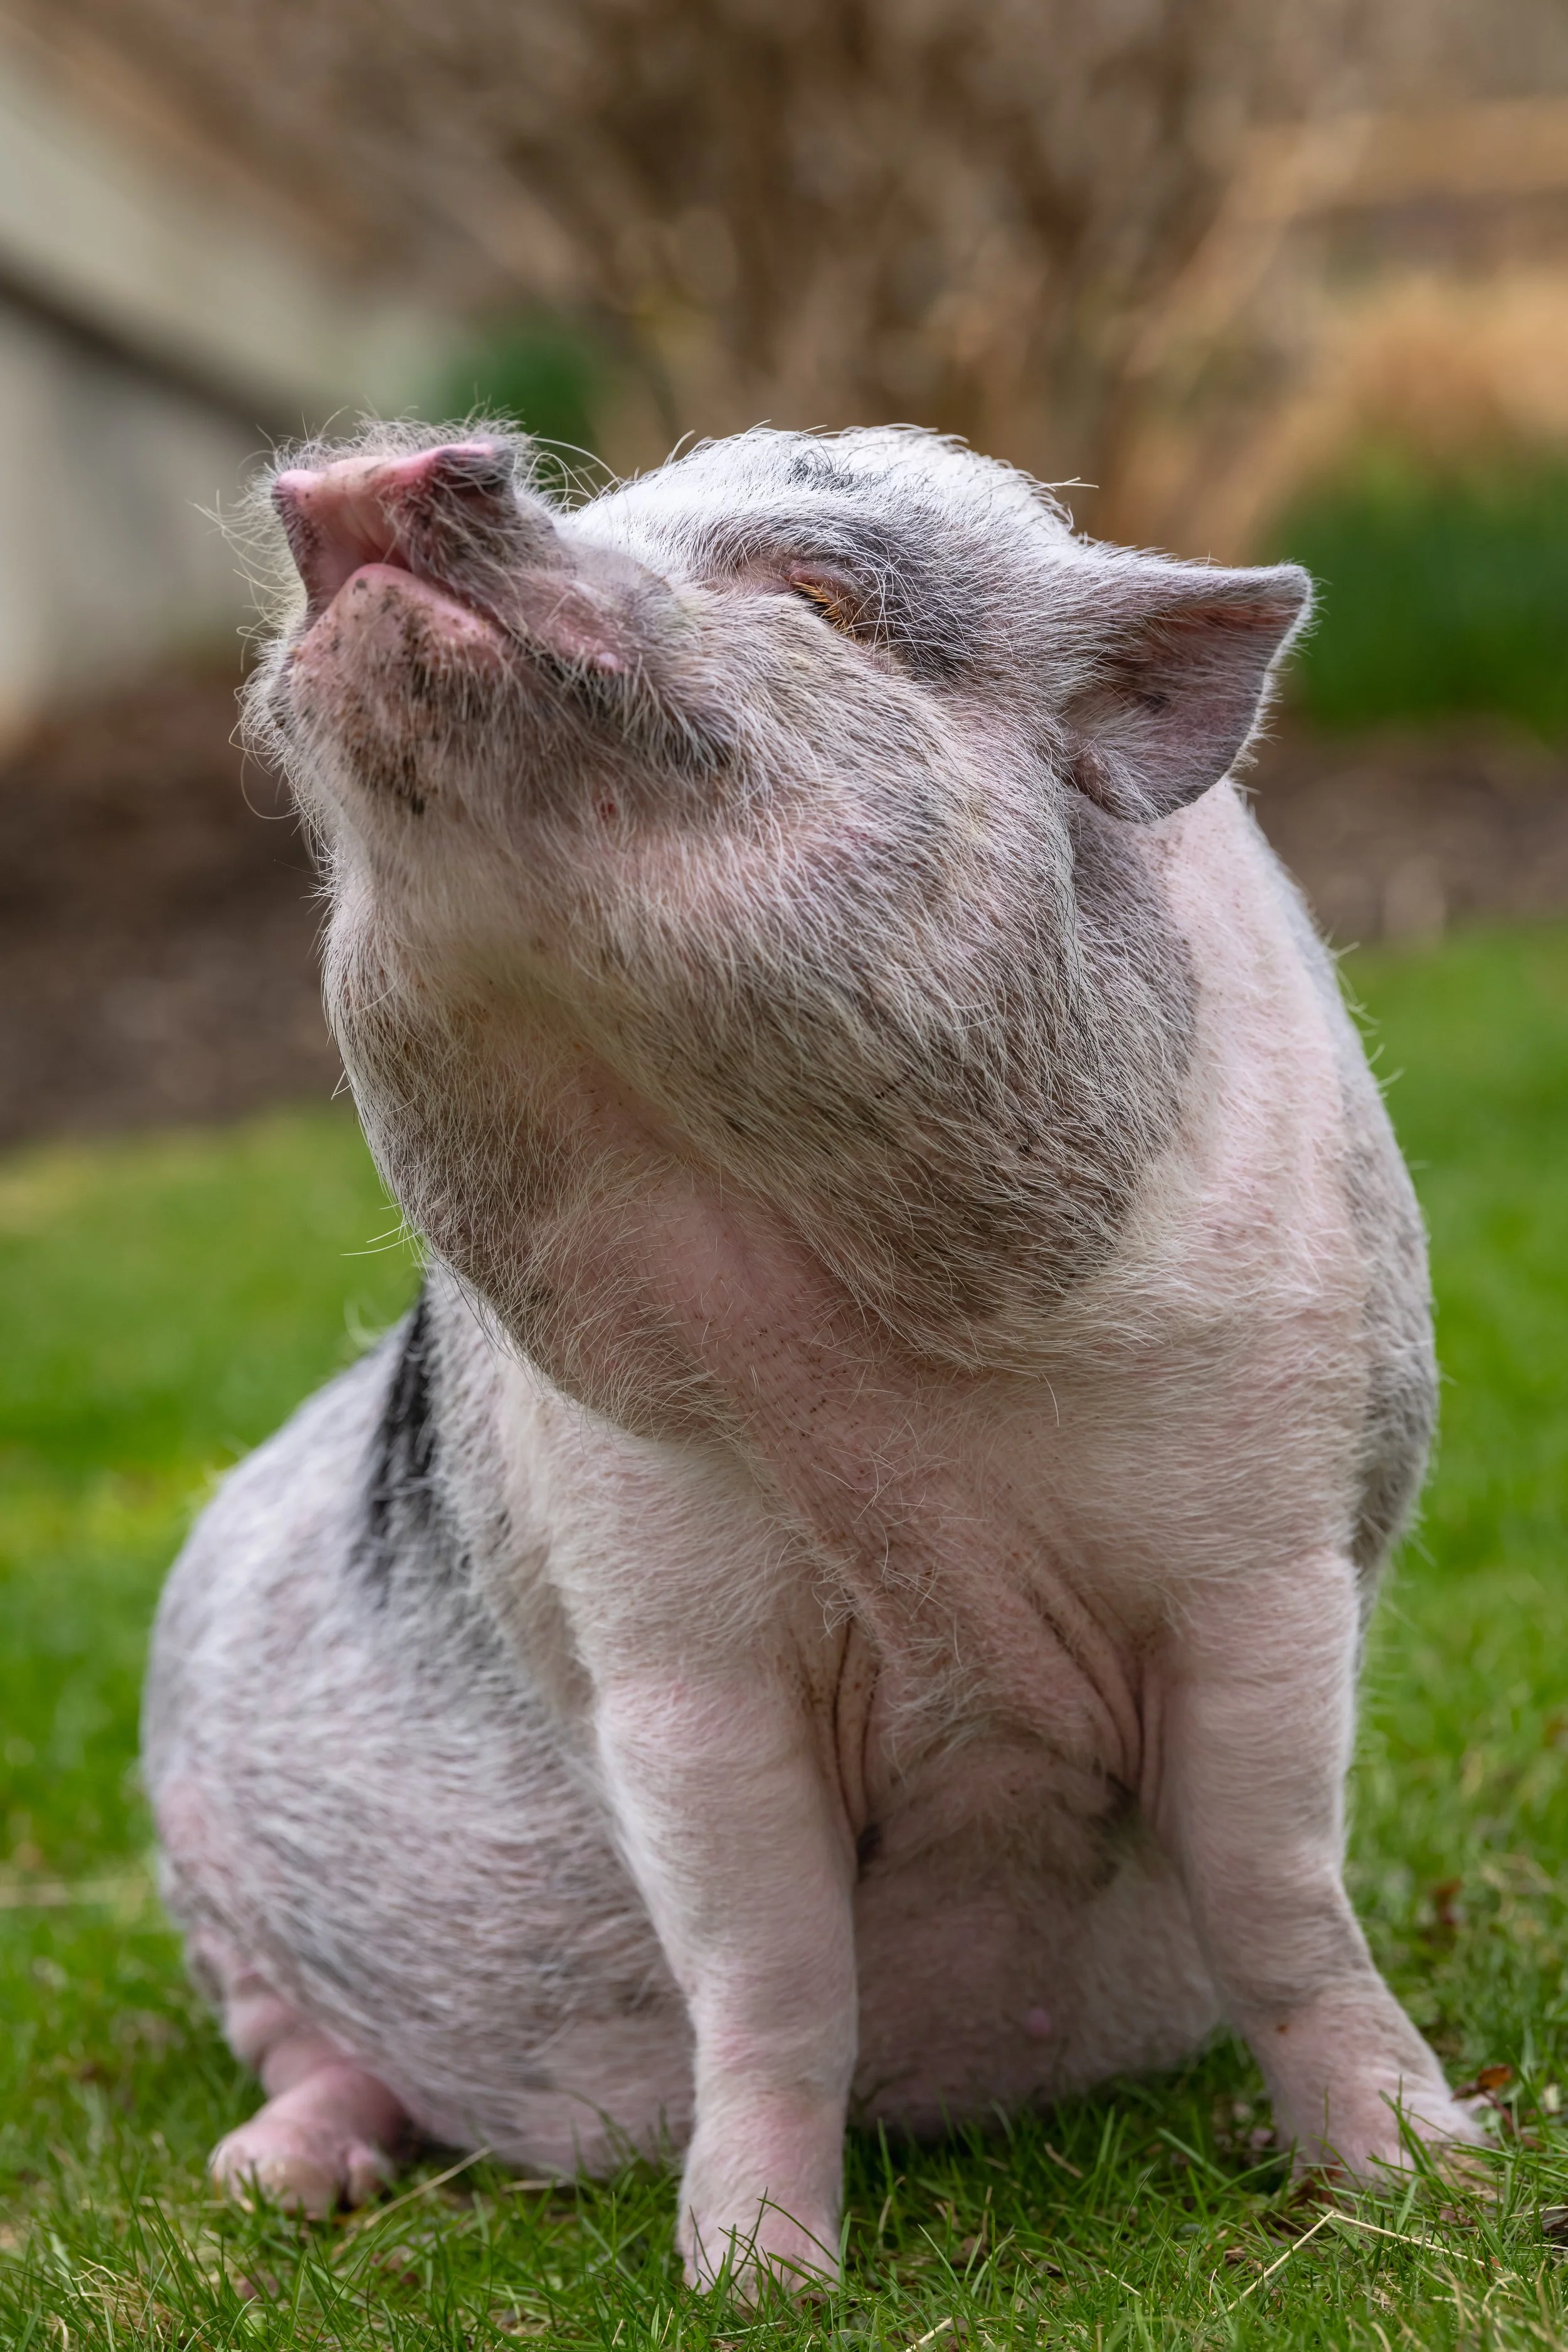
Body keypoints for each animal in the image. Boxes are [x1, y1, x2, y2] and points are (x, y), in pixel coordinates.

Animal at [143, 423, 1482, 2290]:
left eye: (819, 598)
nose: (381, 463)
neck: (868, 1384)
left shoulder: (1263, 1547)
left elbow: (1281, 1891)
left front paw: (1425, 2177)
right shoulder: (667, 1635)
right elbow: (767, 1974)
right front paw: (751, 2276)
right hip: (195, 1838)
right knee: (312, 2048)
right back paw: (264, 2181)